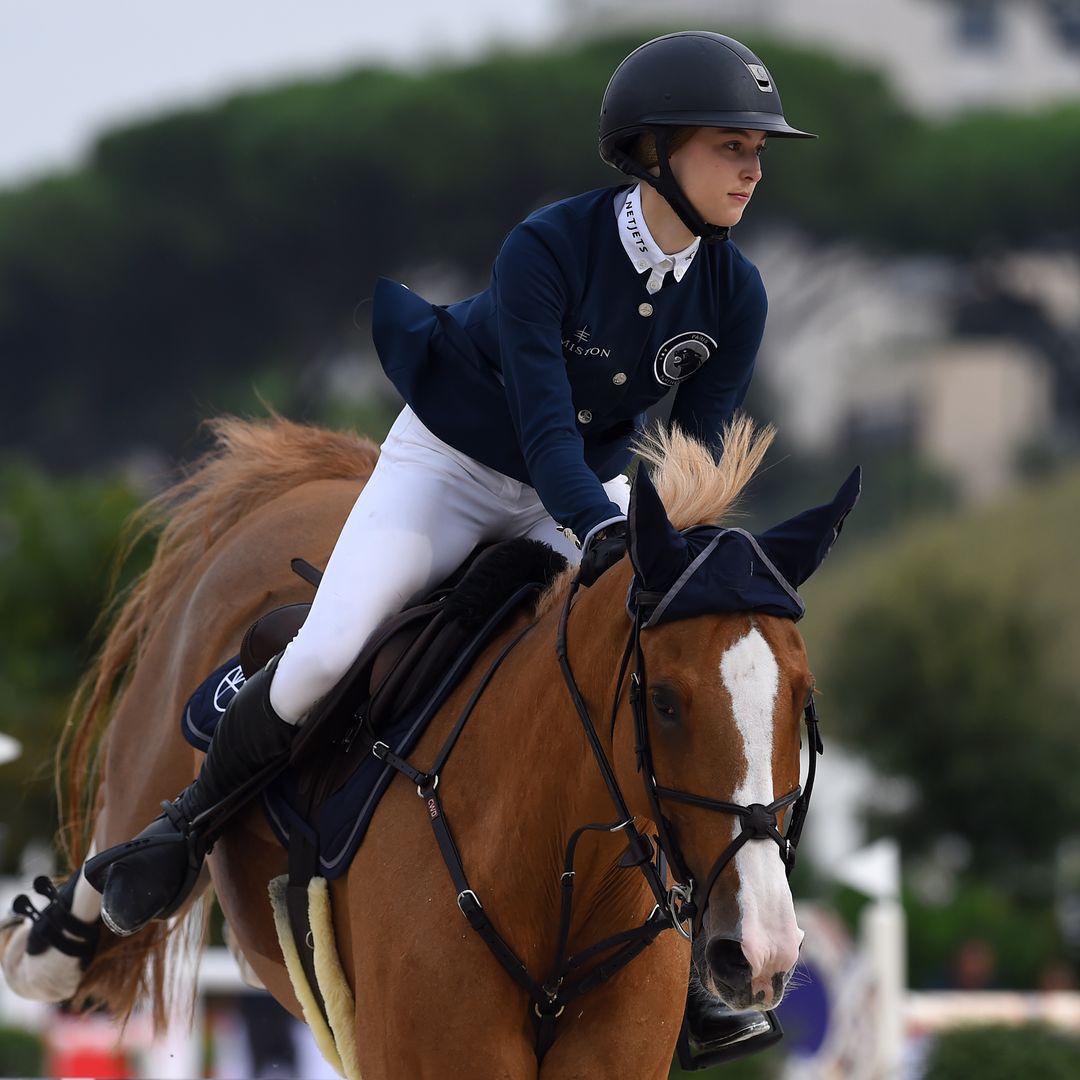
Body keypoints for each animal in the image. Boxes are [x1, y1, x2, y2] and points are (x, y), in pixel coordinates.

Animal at [6, 414, 842, 1080]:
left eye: (803, 700)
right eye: (664, 701)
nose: (760, 952)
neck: (557, 862)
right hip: (152, 745)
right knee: (133, 833)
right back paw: (62, 934)